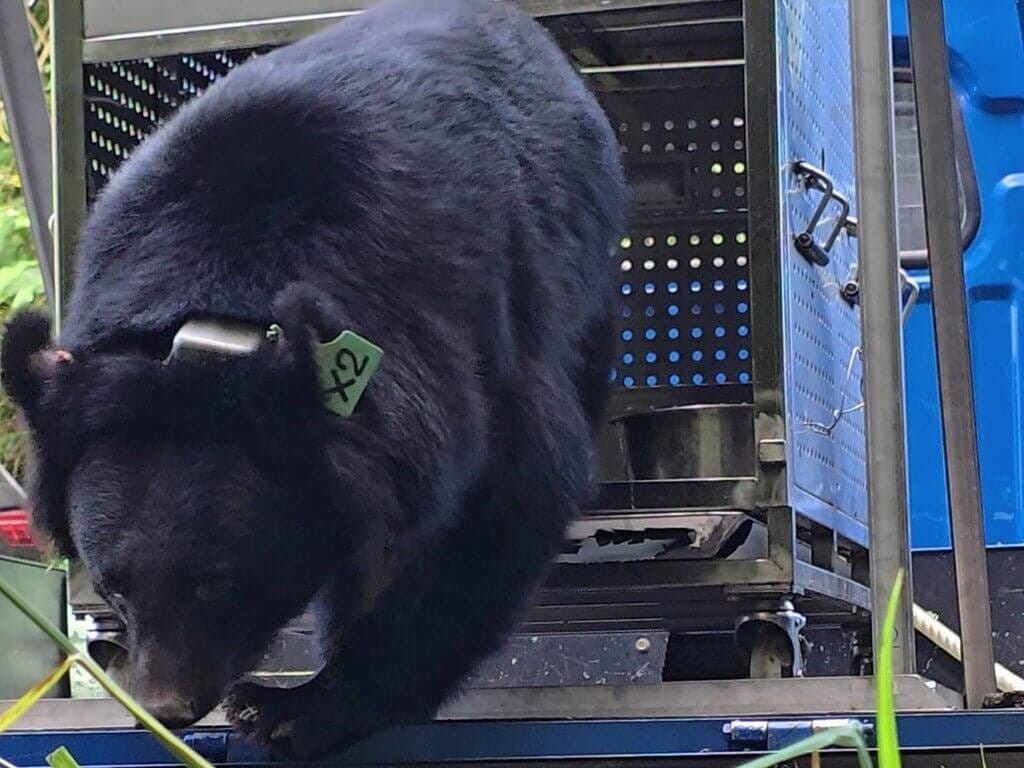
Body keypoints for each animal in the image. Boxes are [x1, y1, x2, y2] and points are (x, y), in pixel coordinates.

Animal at [1, 0, 627, 759]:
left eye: (218, 582)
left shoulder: (454, 327)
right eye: (113, 585)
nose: (167, 707)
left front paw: (297, 706)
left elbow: (505, 498)